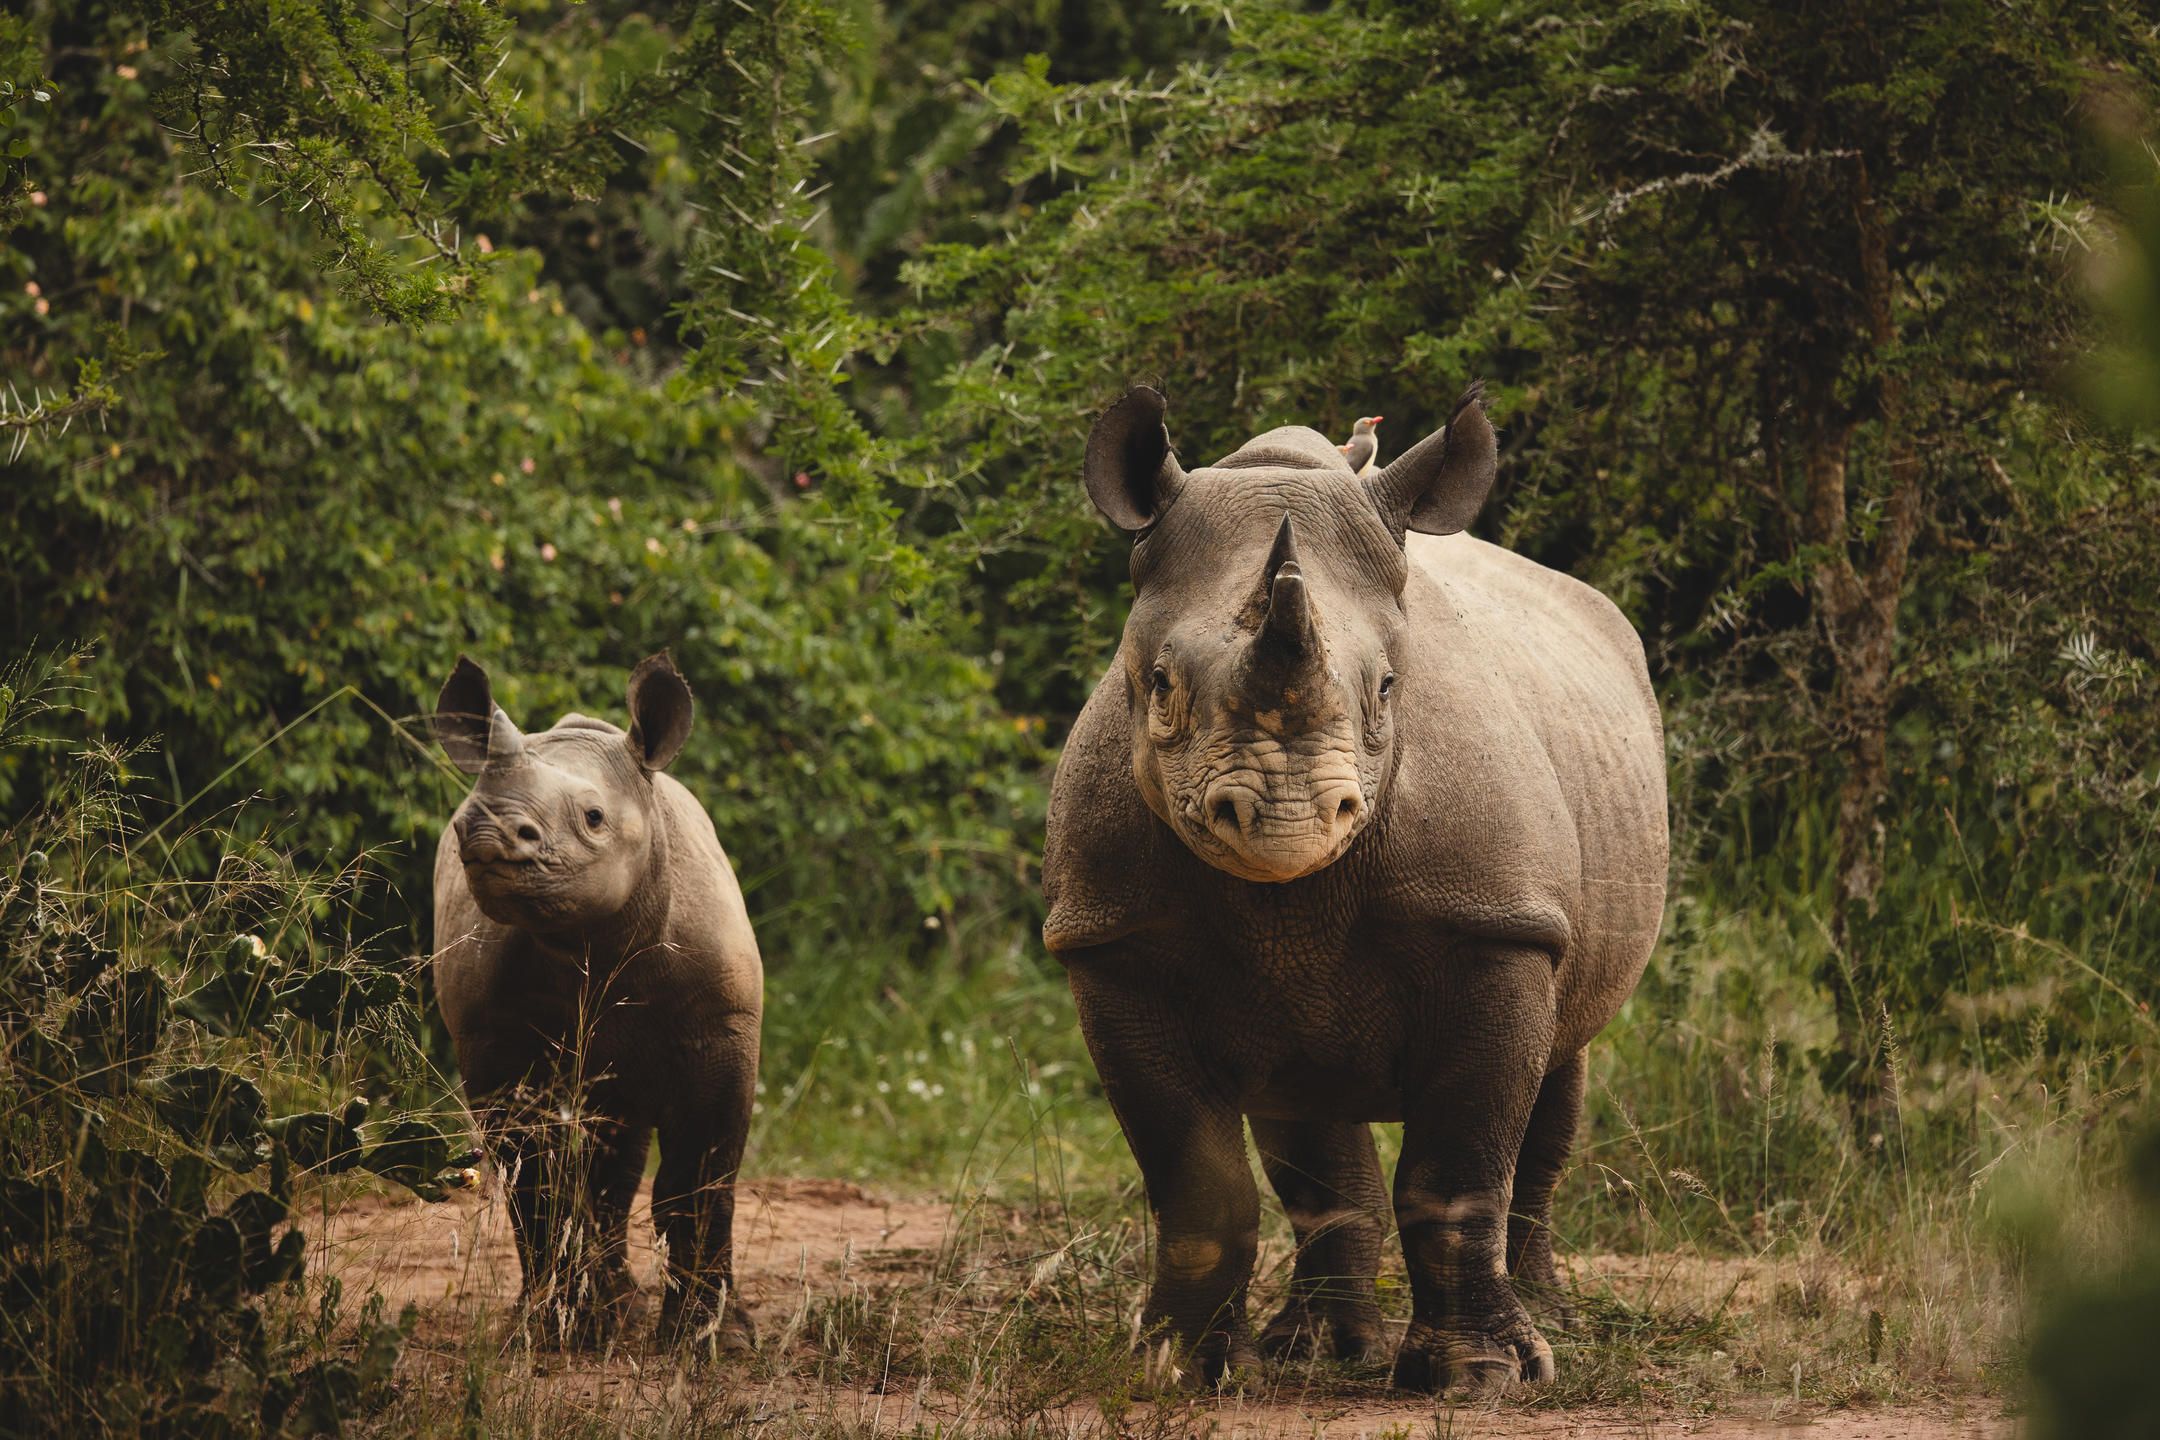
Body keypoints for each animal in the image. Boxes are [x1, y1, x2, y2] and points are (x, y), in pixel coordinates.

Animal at [430, 653, 762, 1351]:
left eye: (593, 818)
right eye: (463, 817)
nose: (484, 829)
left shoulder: (722, 1024)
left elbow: (703, 1175)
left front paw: (712, 1340)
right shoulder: (493, 1039)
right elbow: (537, 1179)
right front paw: (558, 1329)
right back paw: (601, 1313)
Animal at [1042, 385, 1667, 1393]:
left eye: (1386, 690)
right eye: (1161, 688)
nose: (1287, 819)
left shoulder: (1496, 926)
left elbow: (1458, 1175)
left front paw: (1477, 1379)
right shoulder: (1111, 941)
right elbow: (1198, 1183)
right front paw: (1178, 1369)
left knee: (1561, 1065)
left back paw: (1554, 1325)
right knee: (1307, 1108)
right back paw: (1317, 1351)